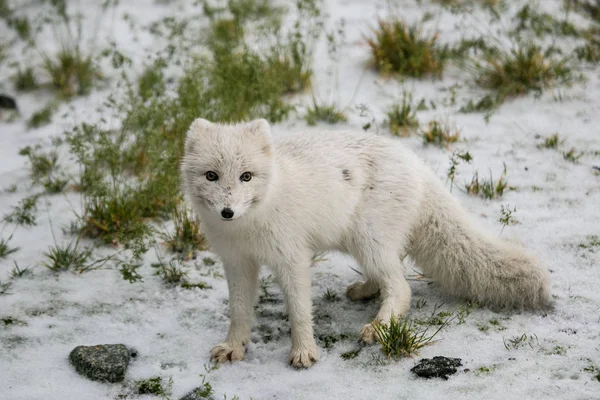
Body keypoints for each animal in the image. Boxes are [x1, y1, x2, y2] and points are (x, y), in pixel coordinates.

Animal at [180, 118, 552, 368]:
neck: (249, 226)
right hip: (362, 243)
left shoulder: (292, 259)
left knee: (402, 287)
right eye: (212, 176)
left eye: (246, 177)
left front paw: (304, 352)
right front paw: (233, 347)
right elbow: (239, 311)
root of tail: (418, 165)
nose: (227, 212)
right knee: (393, 271)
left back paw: (379, 327)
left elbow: (299, 311)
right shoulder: (237, 263)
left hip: (367, 240)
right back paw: (365, 291)